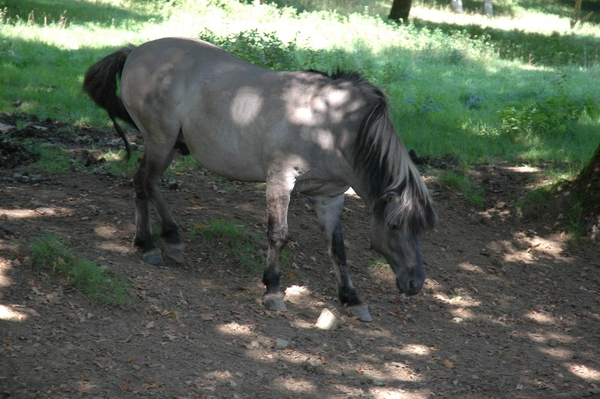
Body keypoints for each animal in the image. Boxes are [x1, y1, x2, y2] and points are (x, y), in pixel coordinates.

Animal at [83, 36, 436, 320]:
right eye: (394, 226)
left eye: (421, 230)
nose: (414, 283)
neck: (330, 125)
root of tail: (134, 51)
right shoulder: (280, 181)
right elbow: (278, 235)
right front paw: (273, 289)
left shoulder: (330, 197)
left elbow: (337, 247)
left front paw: (351, 298)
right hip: (160, 141)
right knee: (143, 182)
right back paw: (148, 244)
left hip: (170, 146)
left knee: (150, 183)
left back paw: (171, 237)